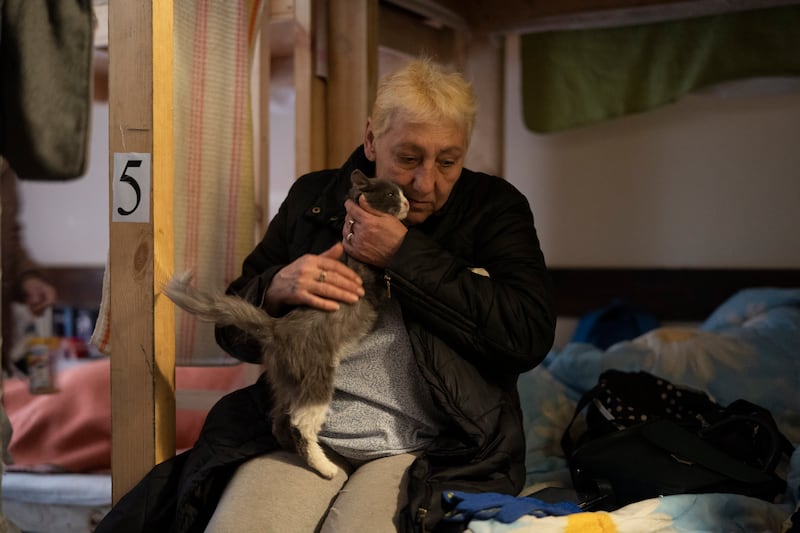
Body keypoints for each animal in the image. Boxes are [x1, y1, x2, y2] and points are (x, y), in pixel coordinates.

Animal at [165, 170, 410, 478]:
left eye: (402, 193)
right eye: (391, 195)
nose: (408, 203)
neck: (353, 252)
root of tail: (275, 327)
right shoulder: (373, 288)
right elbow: (387, 285)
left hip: (286, 383)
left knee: (278, 419)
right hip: (317, 376)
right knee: (300, 423)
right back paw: (325, 467)